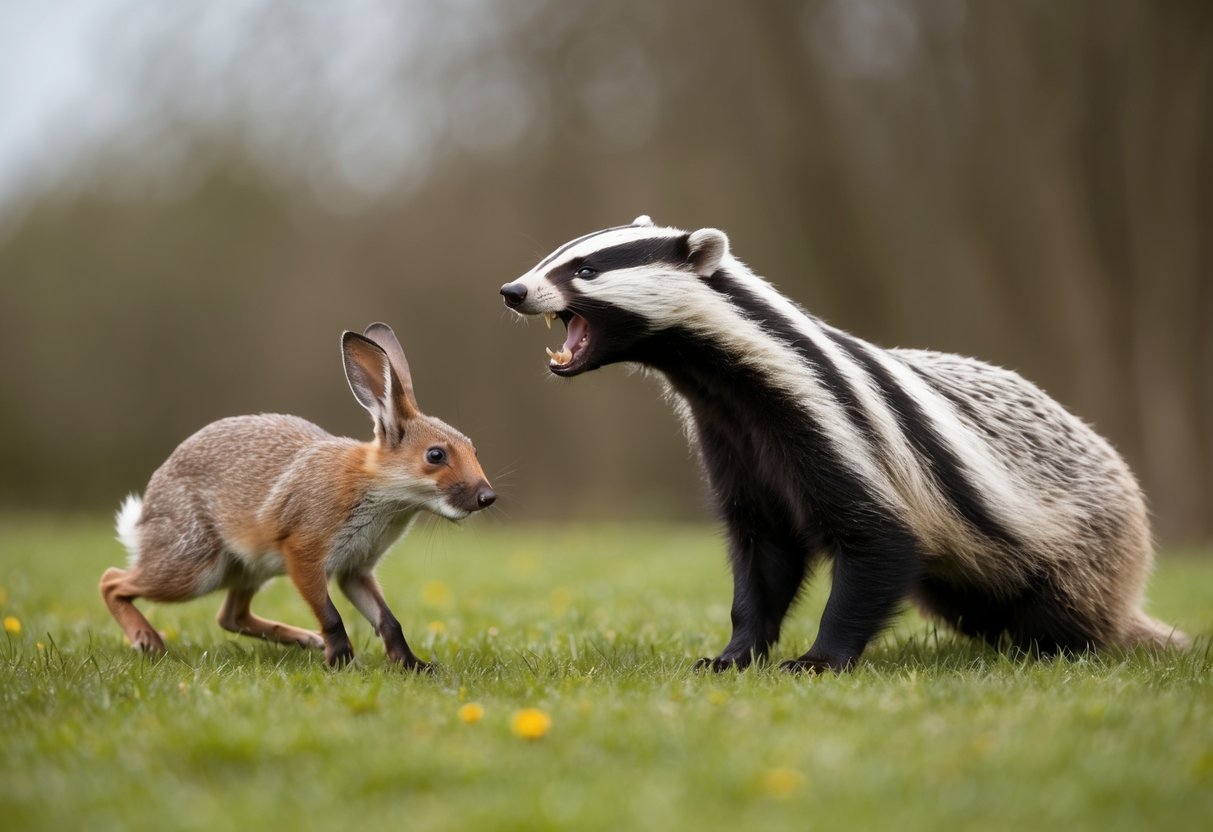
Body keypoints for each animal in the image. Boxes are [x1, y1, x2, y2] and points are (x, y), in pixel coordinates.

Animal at [100, 323, 495, 669]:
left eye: (473, 449)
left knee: (230, 616)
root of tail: (145, 514)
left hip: (249, 570)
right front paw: (342, 663)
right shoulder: (304, 553)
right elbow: (332, 616)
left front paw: (414, 666)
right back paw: (147, 640)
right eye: (435, 455)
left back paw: (304, 639)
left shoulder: (355, 570)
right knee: (112, 581)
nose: (486, 497)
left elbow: (389, 621)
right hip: (195, 569)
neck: (376, 487)